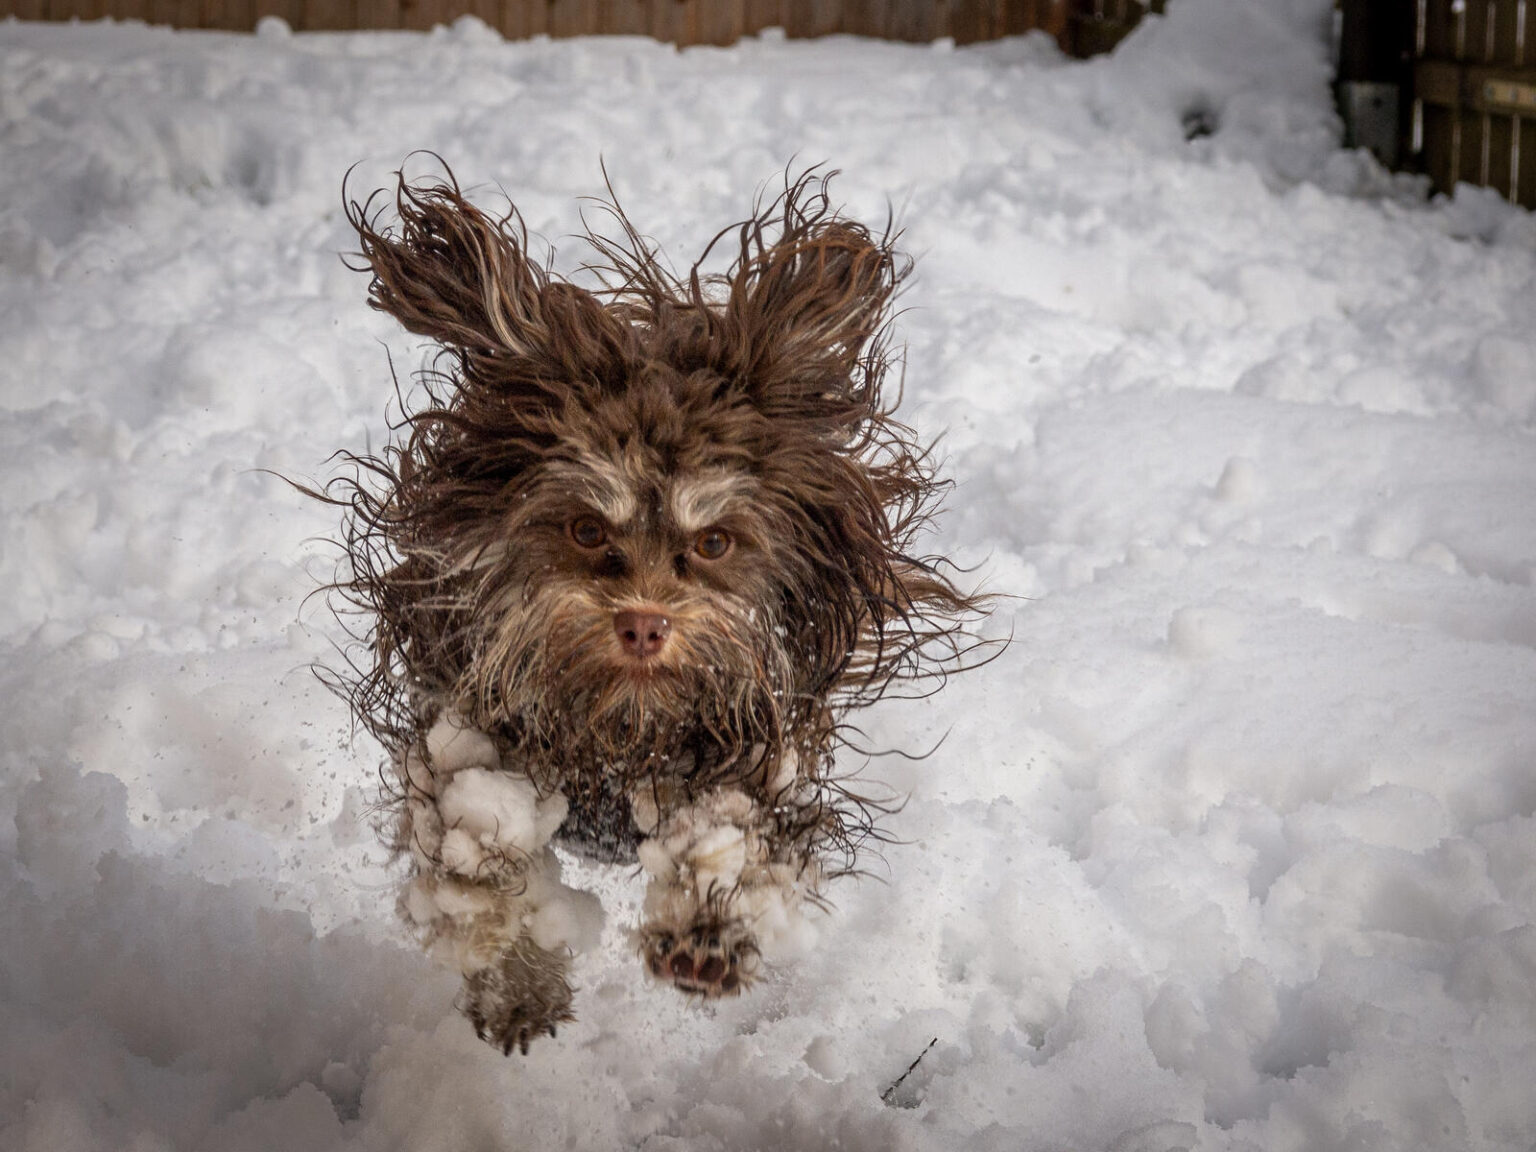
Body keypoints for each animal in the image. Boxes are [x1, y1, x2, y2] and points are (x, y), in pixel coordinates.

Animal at [324, 166, 983, 1062]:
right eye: (585, 529)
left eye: (713, 542)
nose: (643, 624)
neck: (620, 726)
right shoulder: (463, 735)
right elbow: (478, 859)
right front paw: (518, 984)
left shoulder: (754, 749)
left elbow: (735, 837)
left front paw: (706, 934)